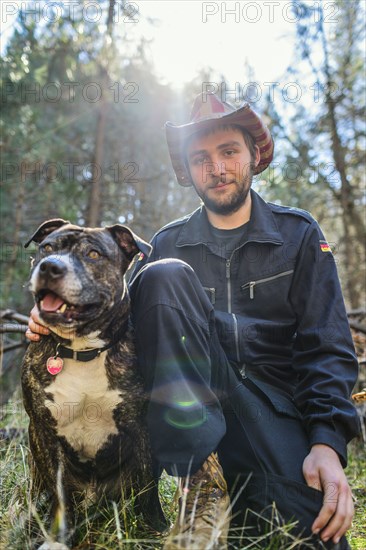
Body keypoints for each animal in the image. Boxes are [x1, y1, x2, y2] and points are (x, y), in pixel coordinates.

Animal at [21, 220, 167, 550]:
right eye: (47, 247)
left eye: (93, 254)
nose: (50, 266)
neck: (82, 350)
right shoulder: (42, 430)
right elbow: (59, 494)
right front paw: (58, 538)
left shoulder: (142, 428)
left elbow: (148, 489)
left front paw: (154, 530)